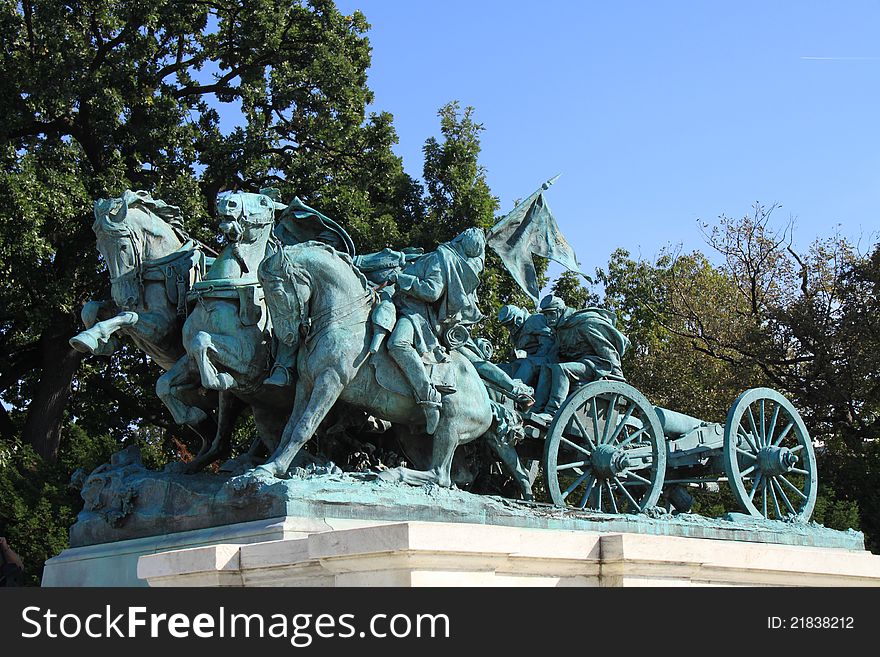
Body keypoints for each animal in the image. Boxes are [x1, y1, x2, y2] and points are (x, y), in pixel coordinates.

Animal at [258, 242, 498, 486]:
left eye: (277, 292)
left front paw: (275, 467)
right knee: (443, 474)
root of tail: (488, 402)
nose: (287, 337)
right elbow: (289, 428)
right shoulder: (305, 384)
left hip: (450, 426)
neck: (342, 320)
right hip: (413, 435)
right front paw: (269, 466)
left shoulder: (331, 381)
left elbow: (304, 428)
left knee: (440, 475)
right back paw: (373, 473)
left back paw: (389, 472)